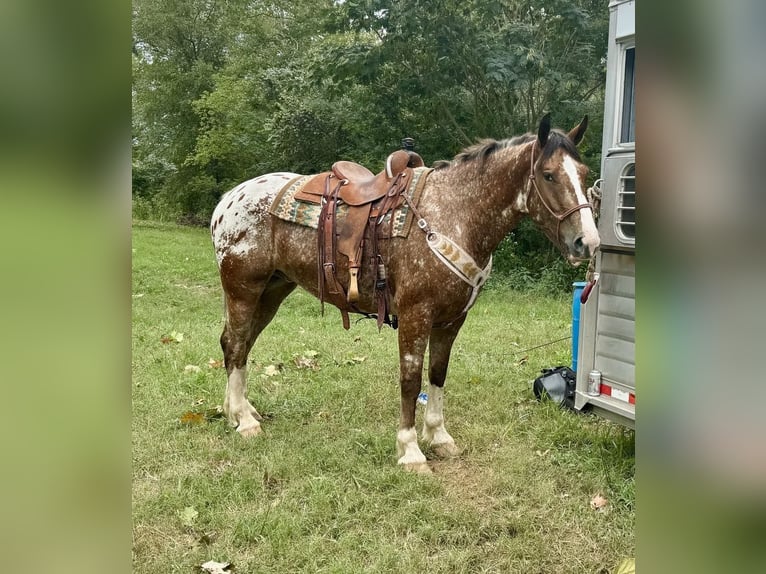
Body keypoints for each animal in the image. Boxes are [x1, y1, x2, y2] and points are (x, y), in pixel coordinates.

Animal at [210, 112, 600, 472]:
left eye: (583, 174)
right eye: (548, 175)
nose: (588, 242)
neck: (455, 214)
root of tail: (229, 200)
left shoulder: (451, 320)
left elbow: (438, 375)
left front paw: (439, 437)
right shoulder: (416, 315)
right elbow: (411, 381)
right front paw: (410, 451)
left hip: (272, 292)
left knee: (238, 345)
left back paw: (239, 411)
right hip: (243, 290)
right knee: (236, 345)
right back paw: (244, 421)